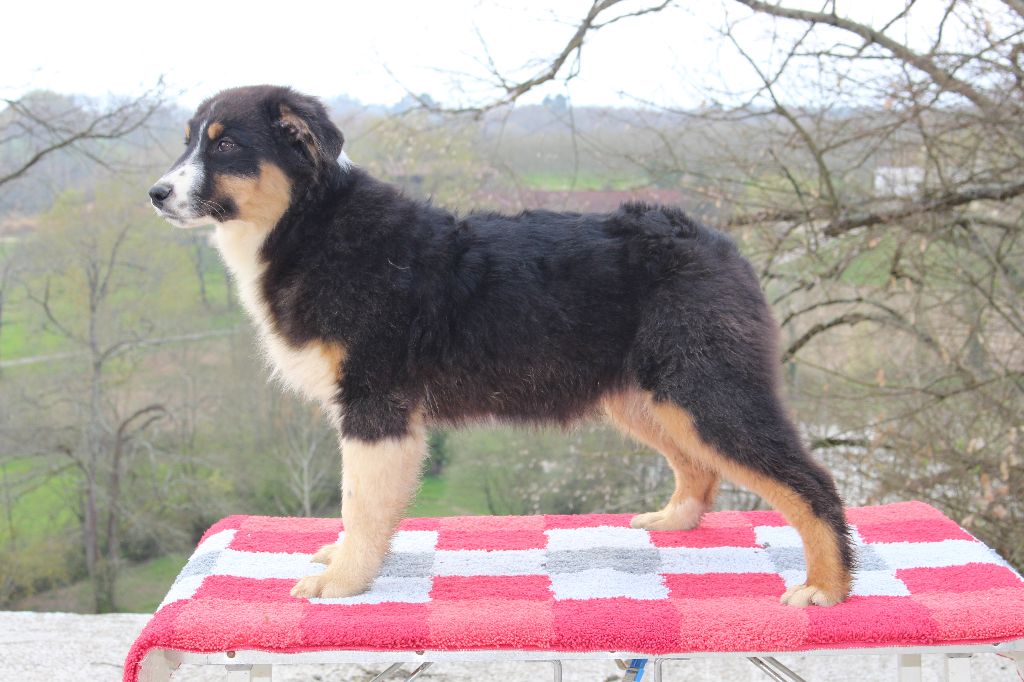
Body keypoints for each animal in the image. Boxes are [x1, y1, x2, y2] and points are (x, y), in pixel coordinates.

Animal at [149, 85, 853, 606]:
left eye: (227, 144)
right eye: (189, 140)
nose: (155, 194)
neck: (308, 224)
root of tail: (719, 243)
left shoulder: (375, 403)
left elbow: (361, 501)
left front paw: (343, 580)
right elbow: (363, 508)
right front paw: (343, 559)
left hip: (705, 387)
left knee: (811, 481)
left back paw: (827, 587)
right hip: (644, 393)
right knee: (700, 468)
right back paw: (673, 521)